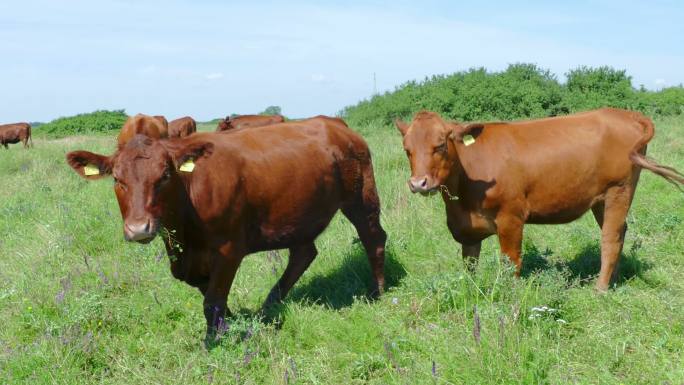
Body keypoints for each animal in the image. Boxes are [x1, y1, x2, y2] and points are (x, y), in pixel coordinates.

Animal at [67, 115, 388, 344]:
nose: (139, 228)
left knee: (373, 238)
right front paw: (230, 324)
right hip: (300, 212)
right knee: (303, 253)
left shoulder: (229, 249)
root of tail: (335, 123)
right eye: (117, 179)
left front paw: (214, 341)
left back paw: (378, 293)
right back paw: (268, 306)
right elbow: (211, 294)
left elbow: (212, 300)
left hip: (361, 198)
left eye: (165, 175)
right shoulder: (187, 260)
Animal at [396, 106, 684, 290]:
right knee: (620, 233)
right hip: (603, 199)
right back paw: (614, 278)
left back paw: (600, 288)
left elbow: (510, 262)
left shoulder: (511, 217)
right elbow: (470, 264)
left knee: (610, 239)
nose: (419, 183)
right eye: (407, 149)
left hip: (619, 190)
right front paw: (470, 289)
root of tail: (626, 114)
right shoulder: (467, 229)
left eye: (440, 145)